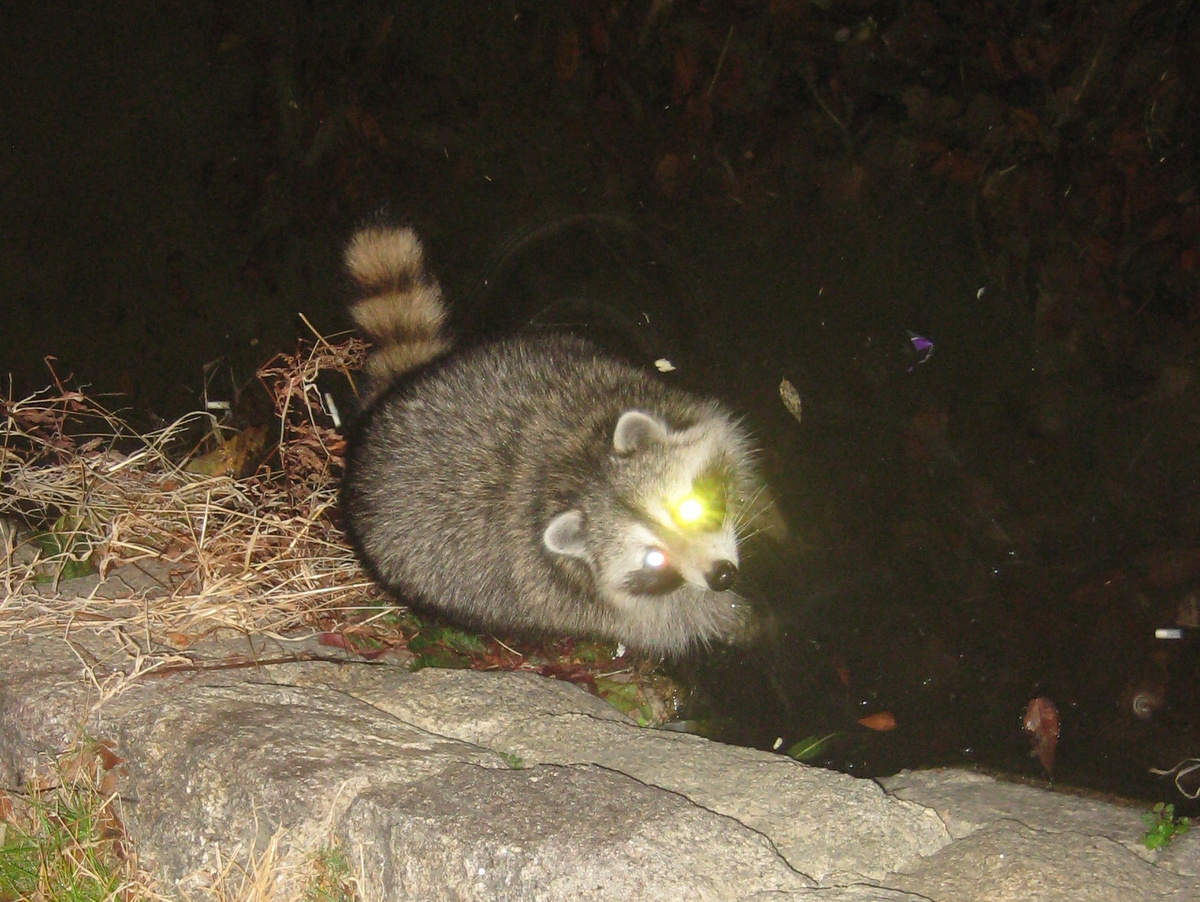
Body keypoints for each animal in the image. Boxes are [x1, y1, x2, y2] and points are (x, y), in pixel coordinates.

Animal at [340, 221, 768, 652]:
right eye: (653, 559)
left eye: (688, 509)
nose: (722, 576)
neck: (585, 467)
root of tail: (390, 403)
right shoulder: (593, 597)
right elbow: (677, 616)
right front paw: (738, 617)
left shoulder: (666, 401)